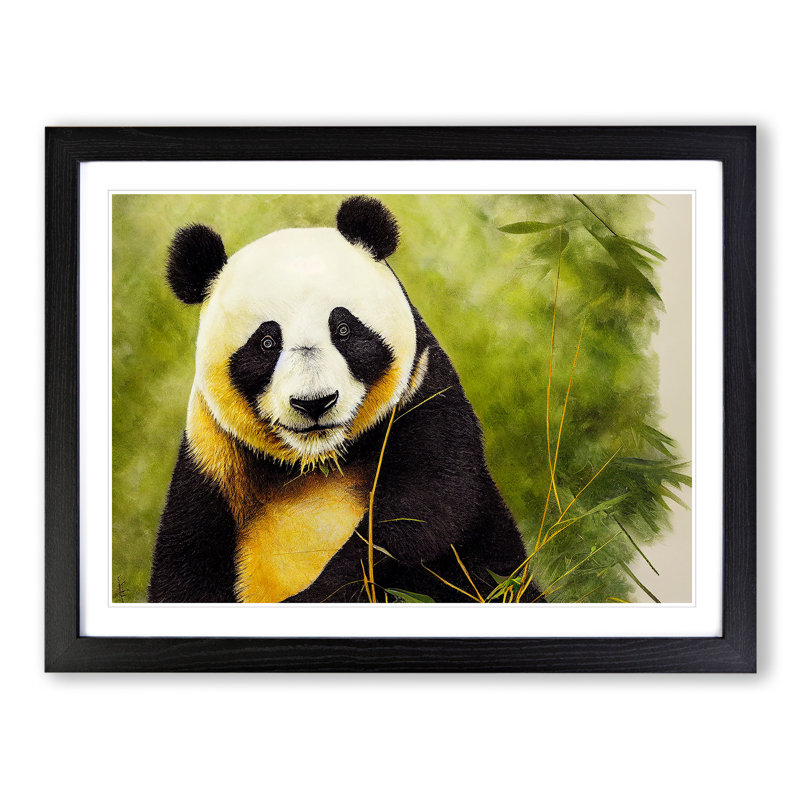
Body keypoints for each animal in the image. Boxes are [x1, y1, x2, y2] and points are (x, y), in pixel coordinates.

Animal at [148, 196, 543, 603]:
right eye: (267, 343)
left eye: (343, 329)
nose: (314, 403)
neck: (317, 463)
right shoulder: (212, 457)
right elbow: (185, 562)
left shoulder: (422, 396)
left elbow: (424, 514)